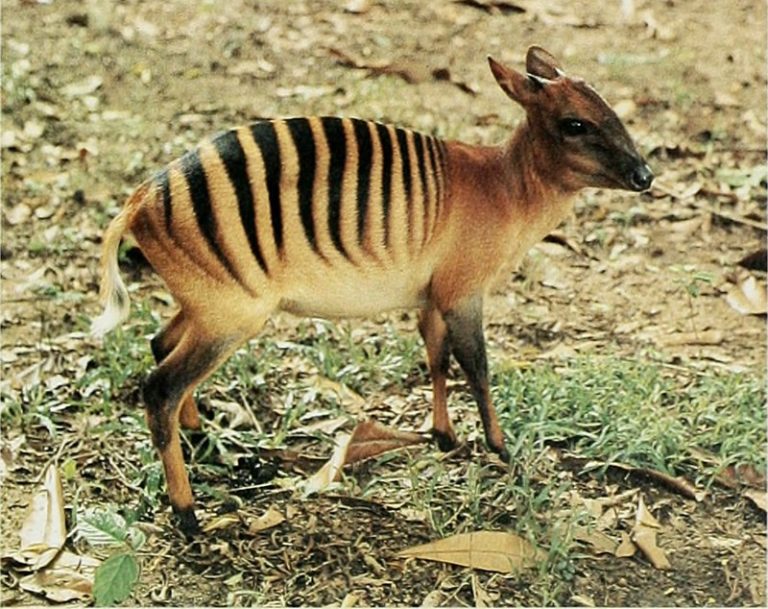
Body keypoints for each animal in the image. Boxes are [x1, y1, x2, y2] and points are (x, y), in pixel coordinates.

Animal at [91, 47, 656, 532]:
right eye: (575, 125)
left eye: (611, 110)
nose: (645, 175)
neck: (506, 186)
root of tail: (140, 199)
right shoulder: (463, 291)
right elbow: (476, 368)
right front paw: (500, 447)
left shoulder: (432, 295)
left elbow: (435, 359)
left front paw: (444, 436)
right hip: (233, 313)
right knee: (160, 387)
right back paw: (186, 511)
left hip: (210, 303)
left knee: (161, 346)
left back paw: (199, 434)